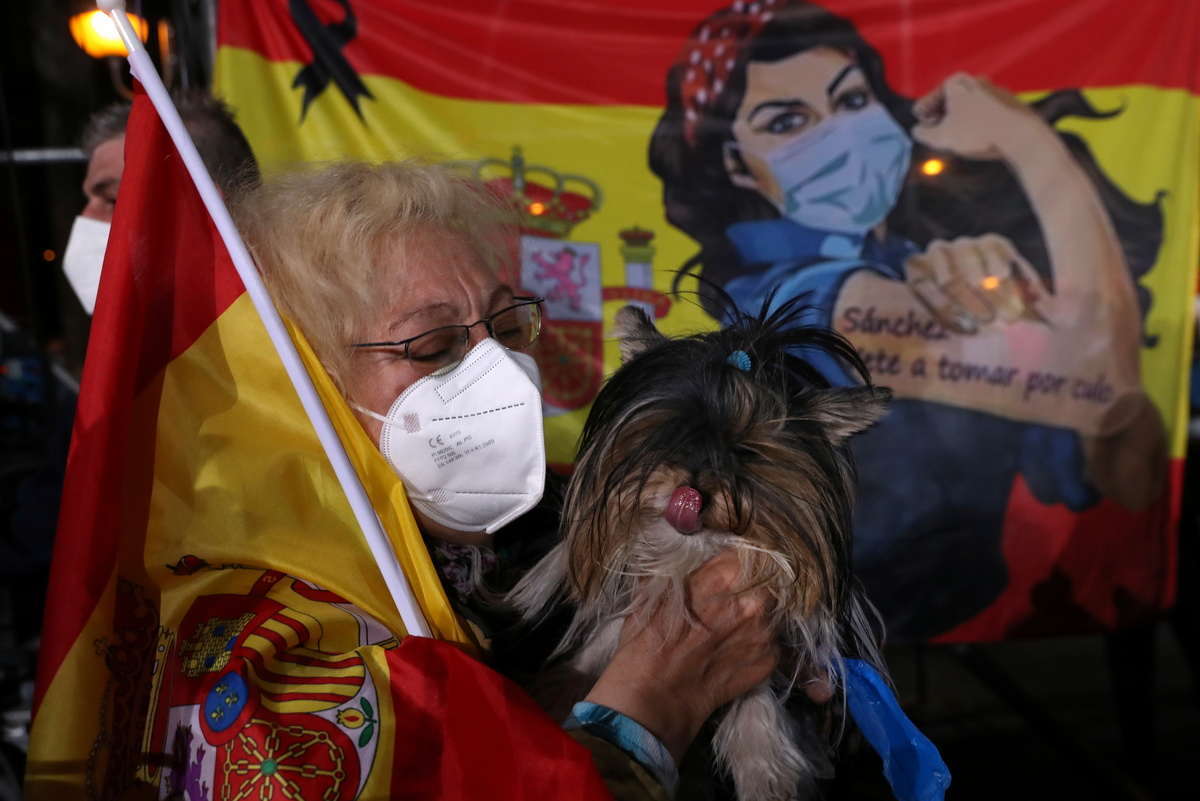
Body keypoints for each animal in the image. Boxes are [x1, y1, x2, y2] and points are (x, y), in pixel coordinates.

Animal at [507, 296, 893, 801]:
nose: (690, 494)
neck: (690, 558)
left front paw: (764, 762)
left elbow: (757, 687)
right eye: (666, 435)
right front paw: (561, 691)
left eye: (747, 452)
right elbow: (610, 631)